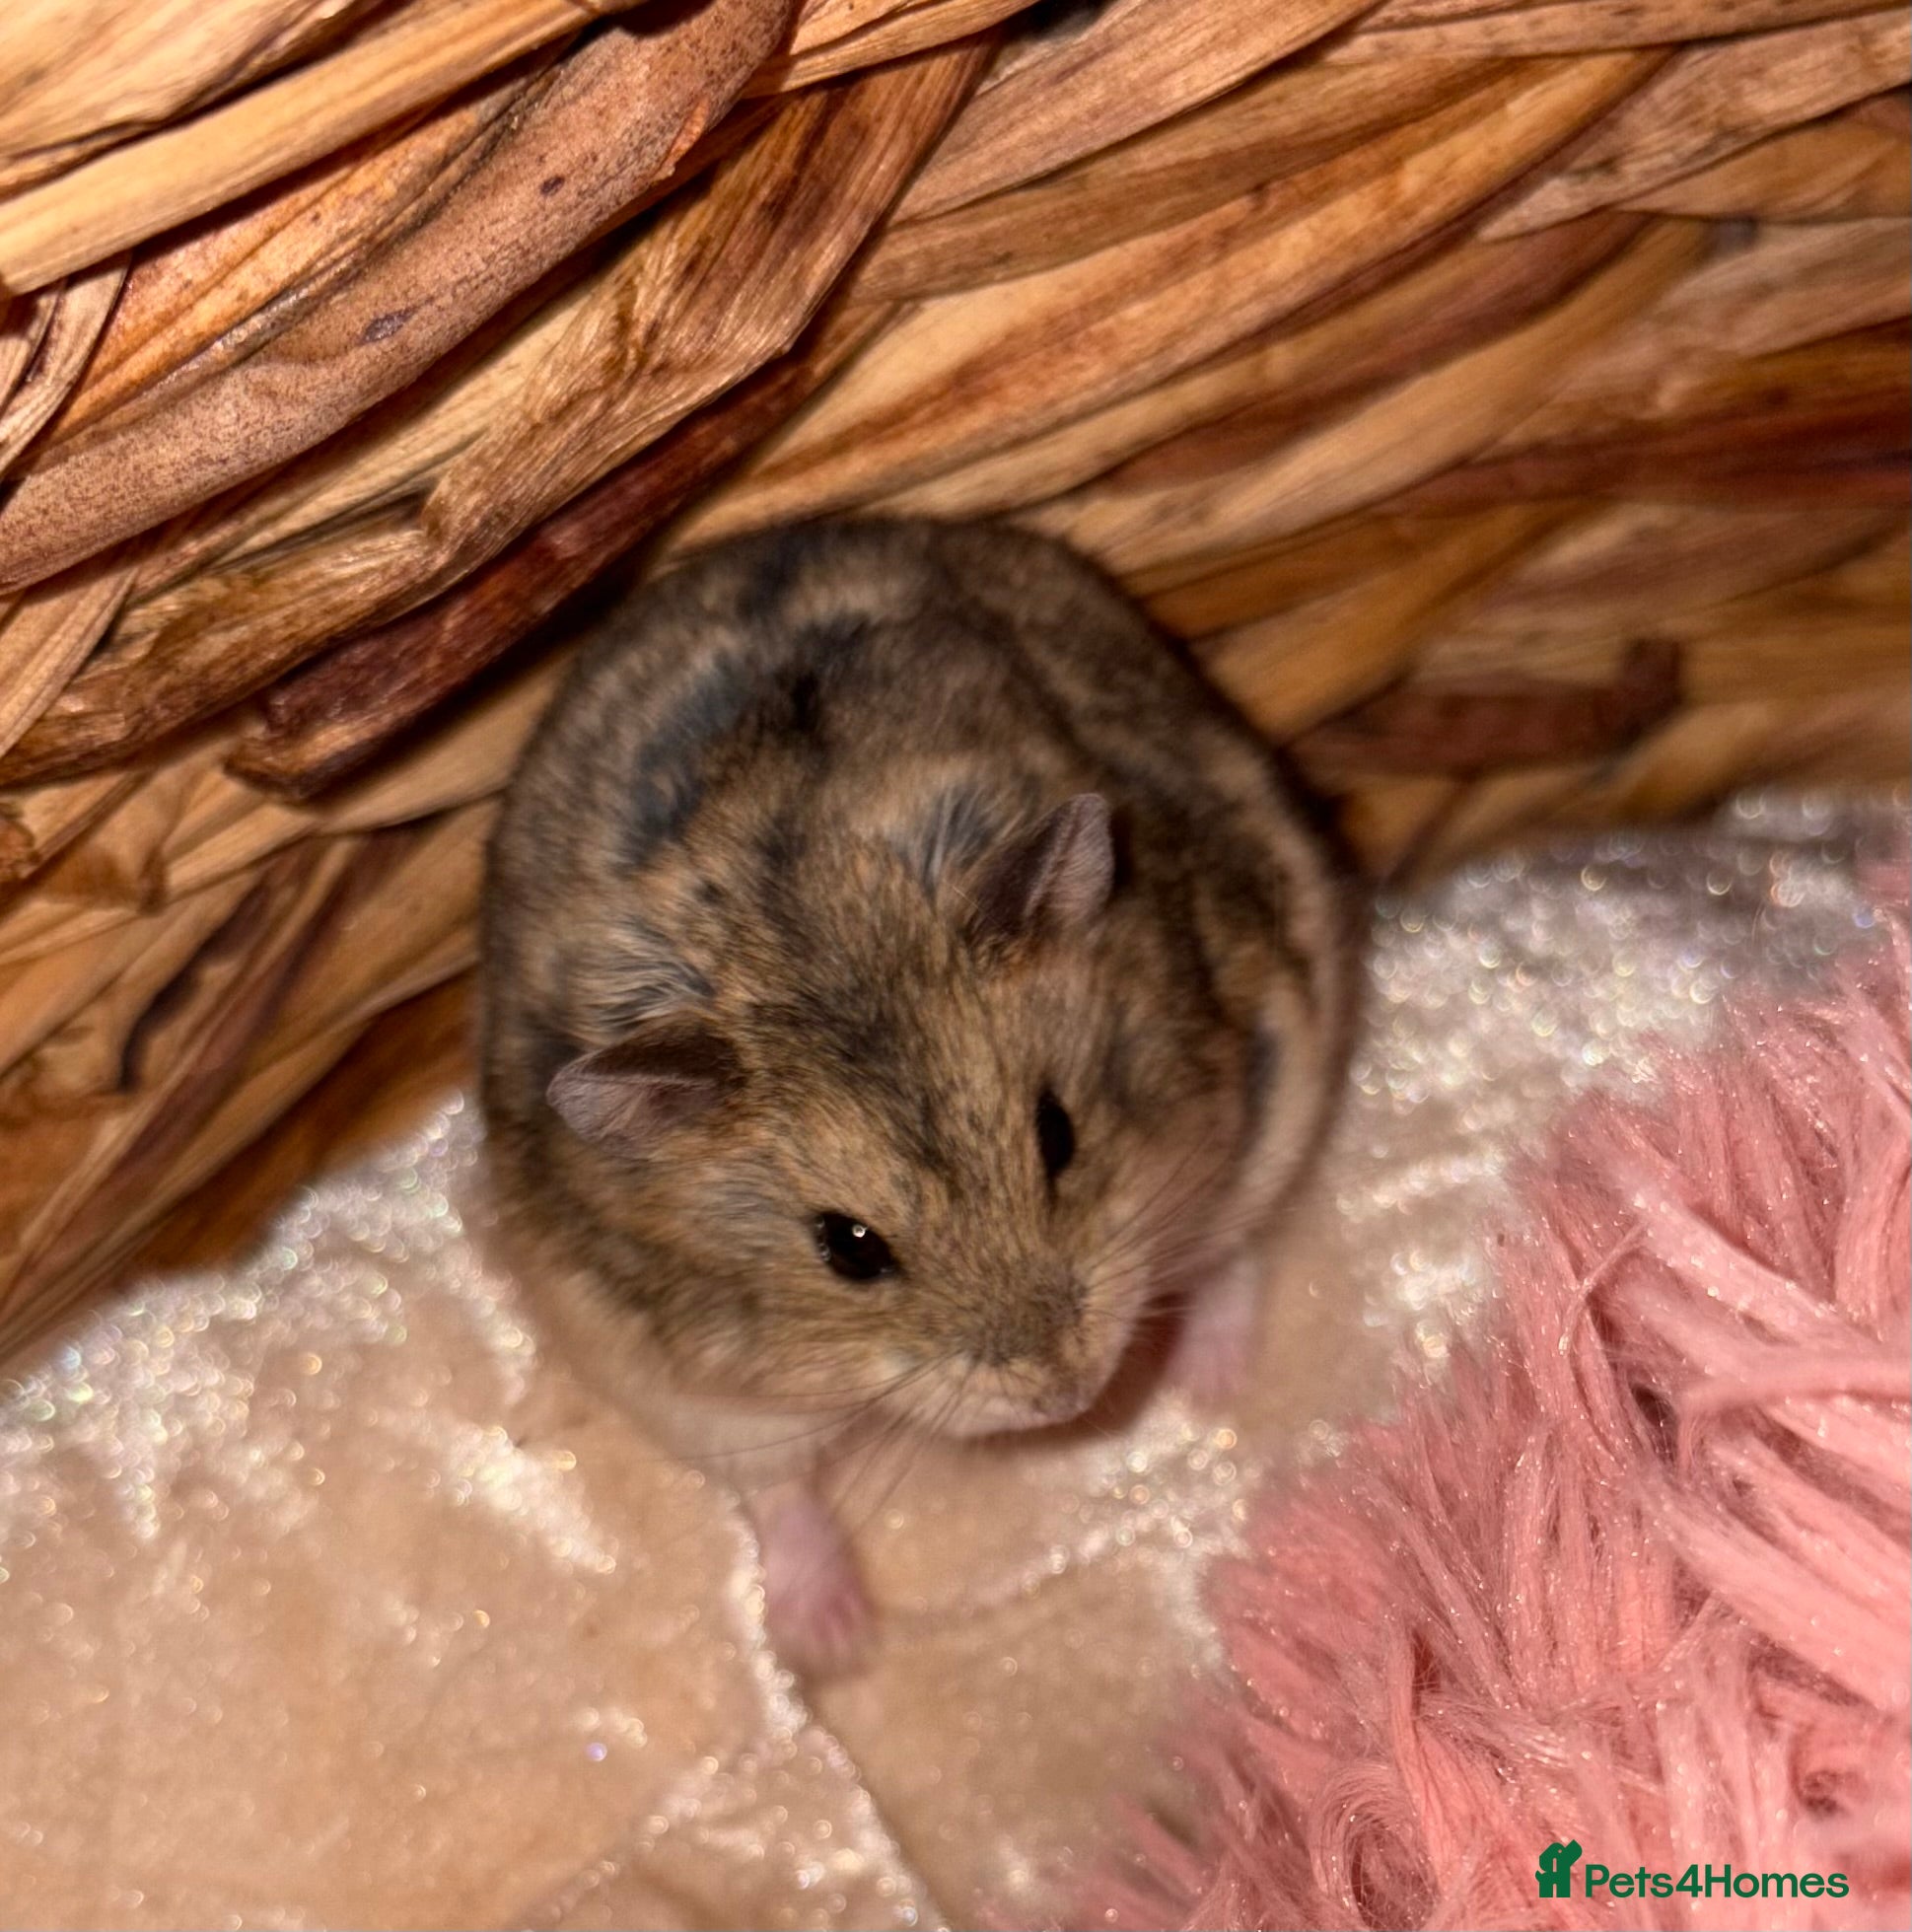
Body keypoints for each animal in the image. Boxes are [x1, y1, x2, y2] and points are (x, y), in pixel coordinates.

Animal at [481, 517, 1350, 1673]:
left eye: (1058, 1135)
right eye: (849, 1249)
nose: (1068, 1393)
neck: (807, 931)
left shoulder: (1265, 1060)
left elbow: (1230, 1245)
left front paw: (1205, 1388)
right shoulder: (671, 1376)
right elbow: (777, 1491)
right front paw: (835, 1644)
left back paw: (1217, 1383)